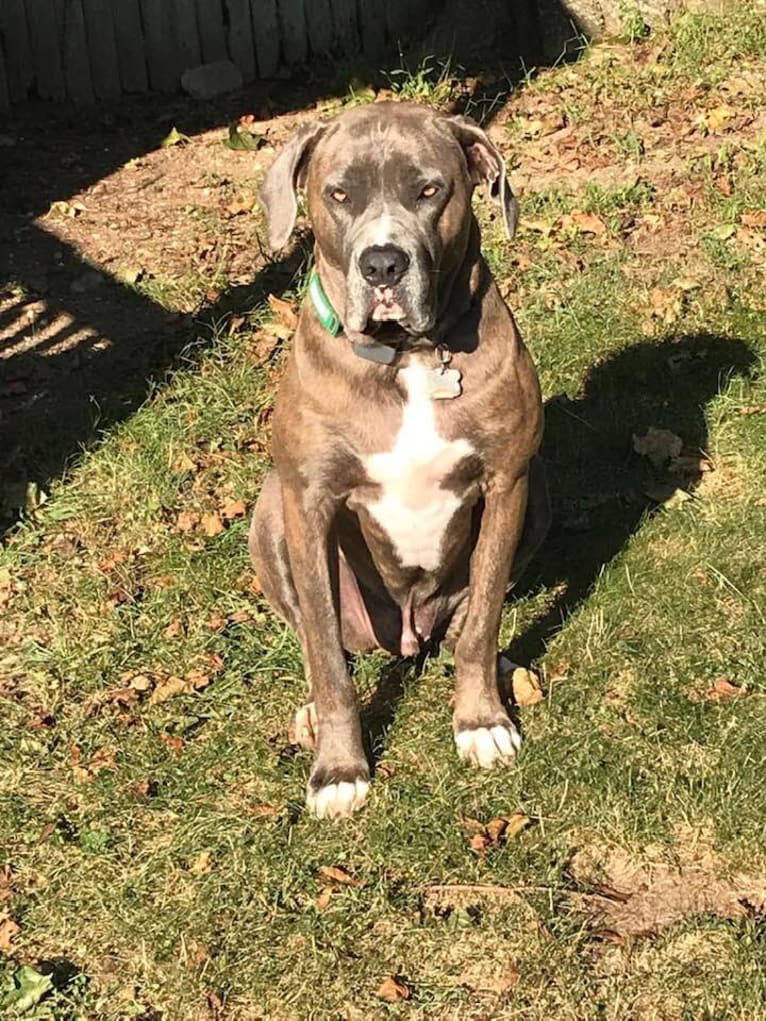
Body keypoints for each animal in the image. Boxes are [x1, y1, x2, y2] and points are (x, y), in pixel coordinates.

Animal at [252, 101, 551, 820]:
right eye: (339, 194)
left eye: (429, 190)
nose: (383, 265)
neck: (411, 357)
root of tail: (409, 633)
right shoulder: (309, 500)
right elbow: (328, 658)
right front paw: (339, 769)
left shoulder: (508, 479)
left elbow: (482, 621)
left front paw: (480, 721)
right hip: (270, 512)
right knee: (316, 636)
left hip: (541, 496)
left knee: (471, 615)